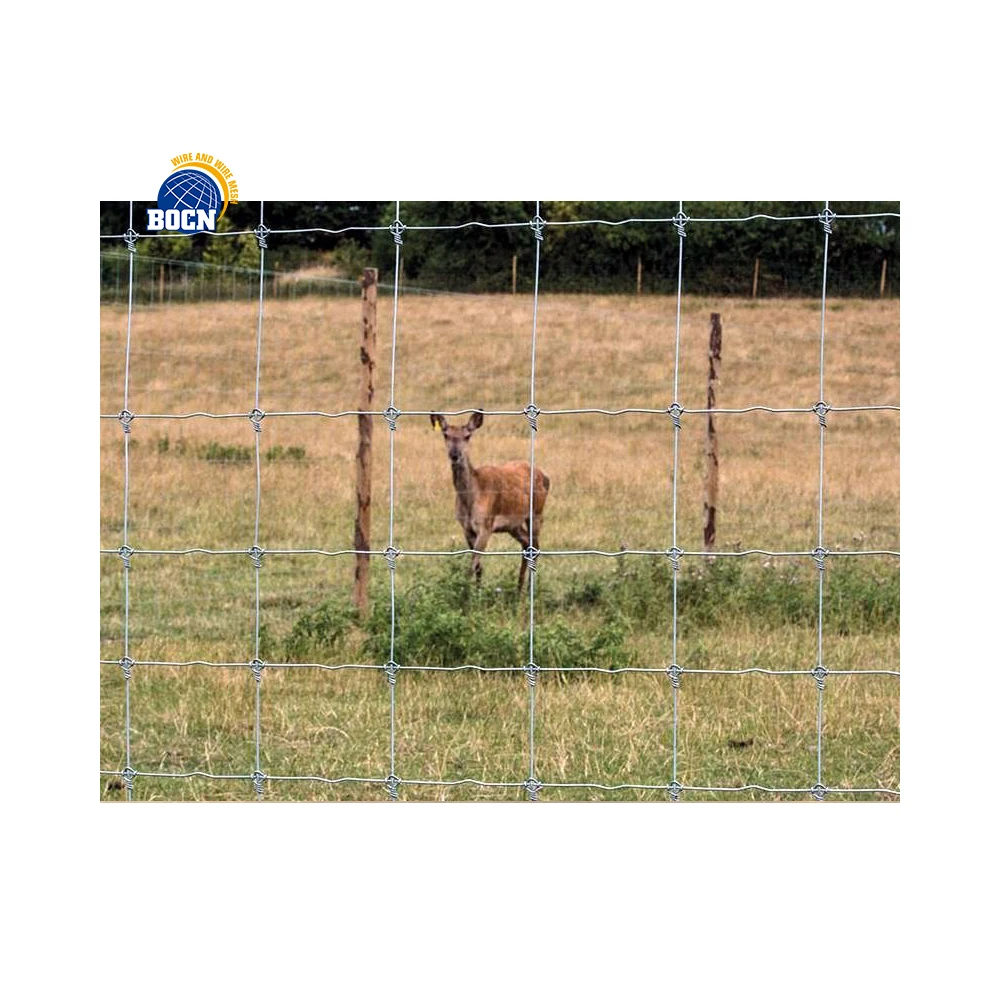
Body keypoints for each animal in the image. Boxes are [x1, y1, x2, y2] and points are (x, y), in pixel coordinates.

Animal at [430, 410, 550, 593]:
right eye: (445, 434)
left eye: (467, 436)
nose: (455, 455)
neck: (471, 498)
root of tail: (546, 477)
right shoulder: (466, 528)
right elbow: (478, 566)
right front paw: (477, 592)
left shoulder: (486, 525)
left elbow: (472, 565)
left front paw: (466, 595)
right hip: (513, 525)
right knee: (526, 543)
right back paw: (518, 590)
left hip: (536, 512)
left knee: (535, 546)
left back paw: (529, 589)